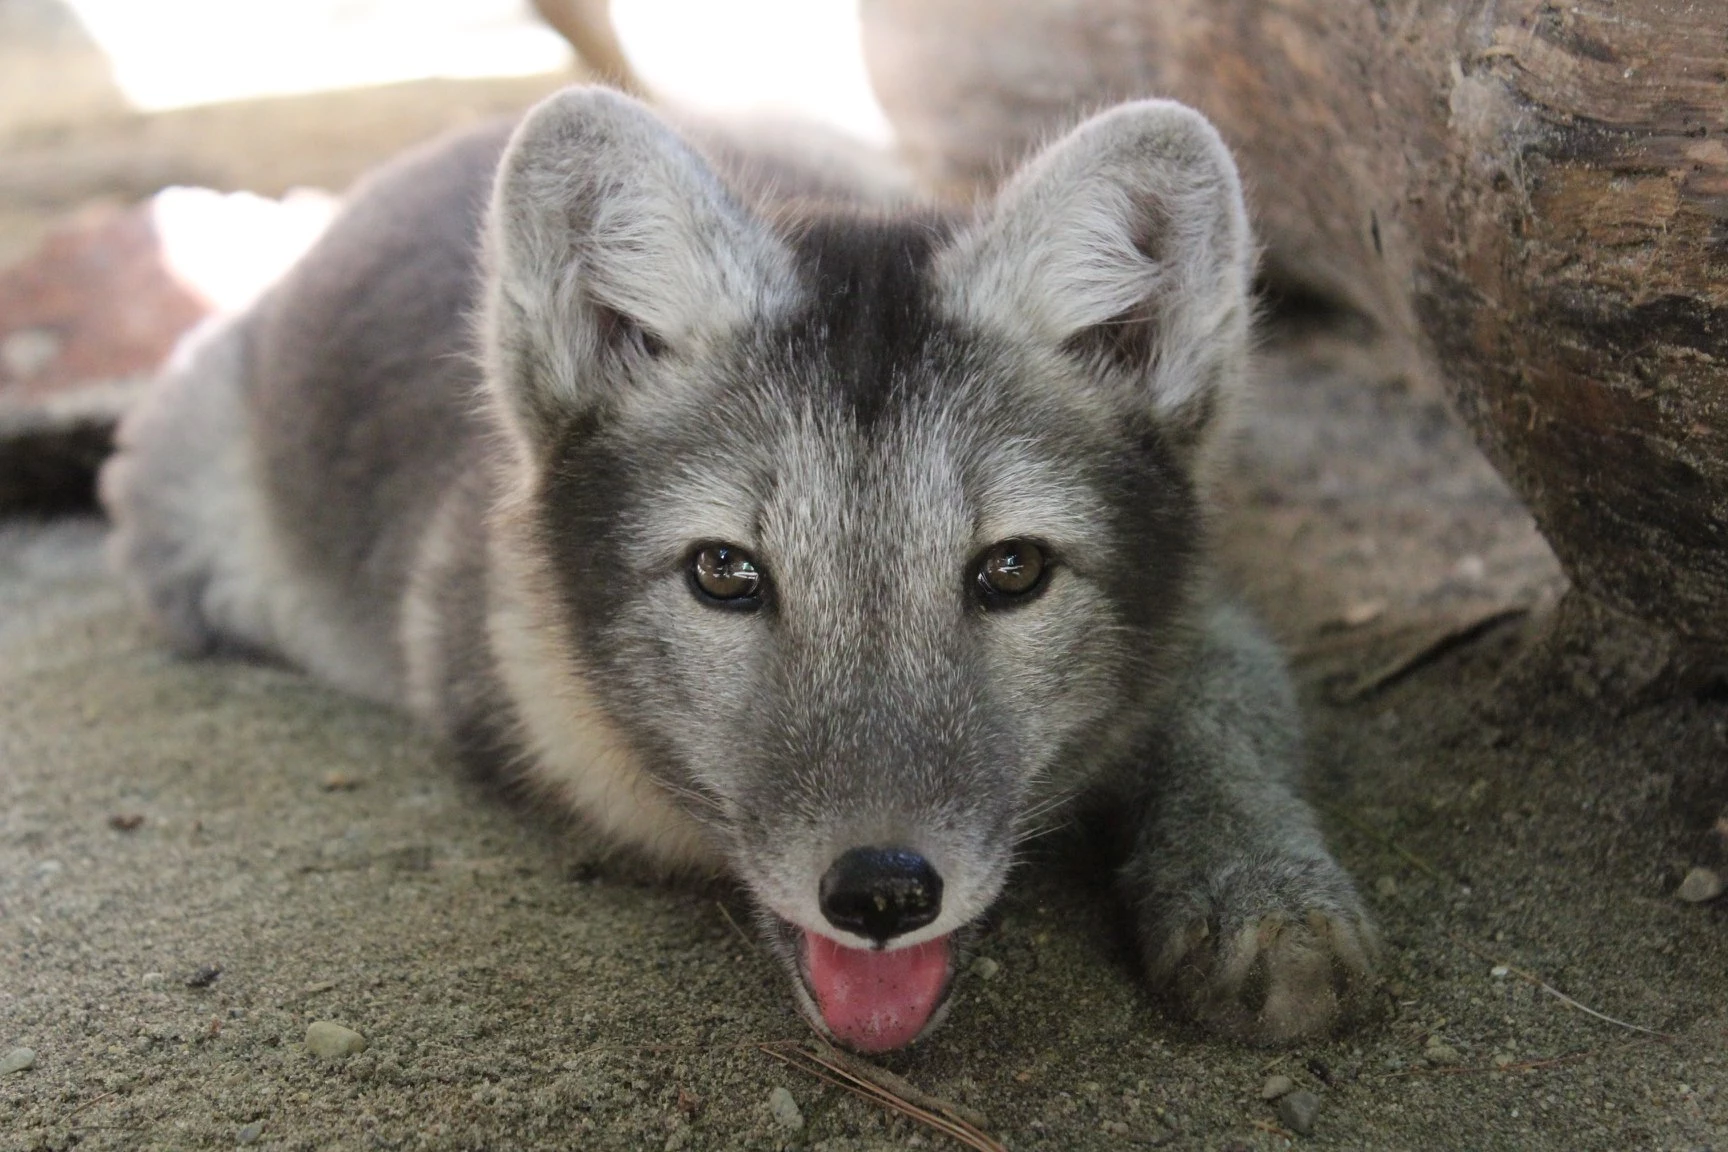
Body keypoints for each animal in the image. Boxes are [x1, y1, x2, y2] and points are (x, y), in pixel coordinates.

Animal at [104, 85, 1375, 1050]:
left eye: (1012, 571)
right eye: (724, 574)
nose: (881, 894)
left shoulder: (1211, 601)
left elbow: (1224, 697)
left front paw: (1257, 879)